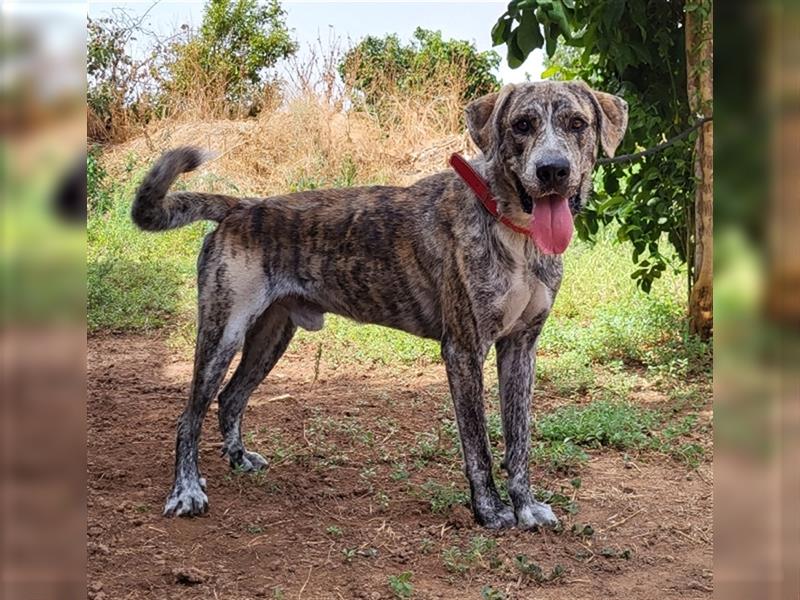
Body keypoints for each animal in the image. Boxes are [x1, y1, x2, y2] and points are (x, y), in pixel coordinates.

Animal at [131, 81, 628, 528]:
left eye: (577, 124)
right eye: (522, 124)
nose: (552, 170)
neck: (513, 226)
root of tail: (240, 206)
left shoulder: (520, 348)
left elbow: (518, 441)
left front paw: (525, 506)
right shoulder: (464, 350)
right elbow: (479, 446)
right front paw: (489, 512)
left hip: (271, 335)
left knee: (231, 398)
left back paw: (237, 460)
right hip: (223, 332)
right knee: (188, 416)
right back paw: (186, 490)